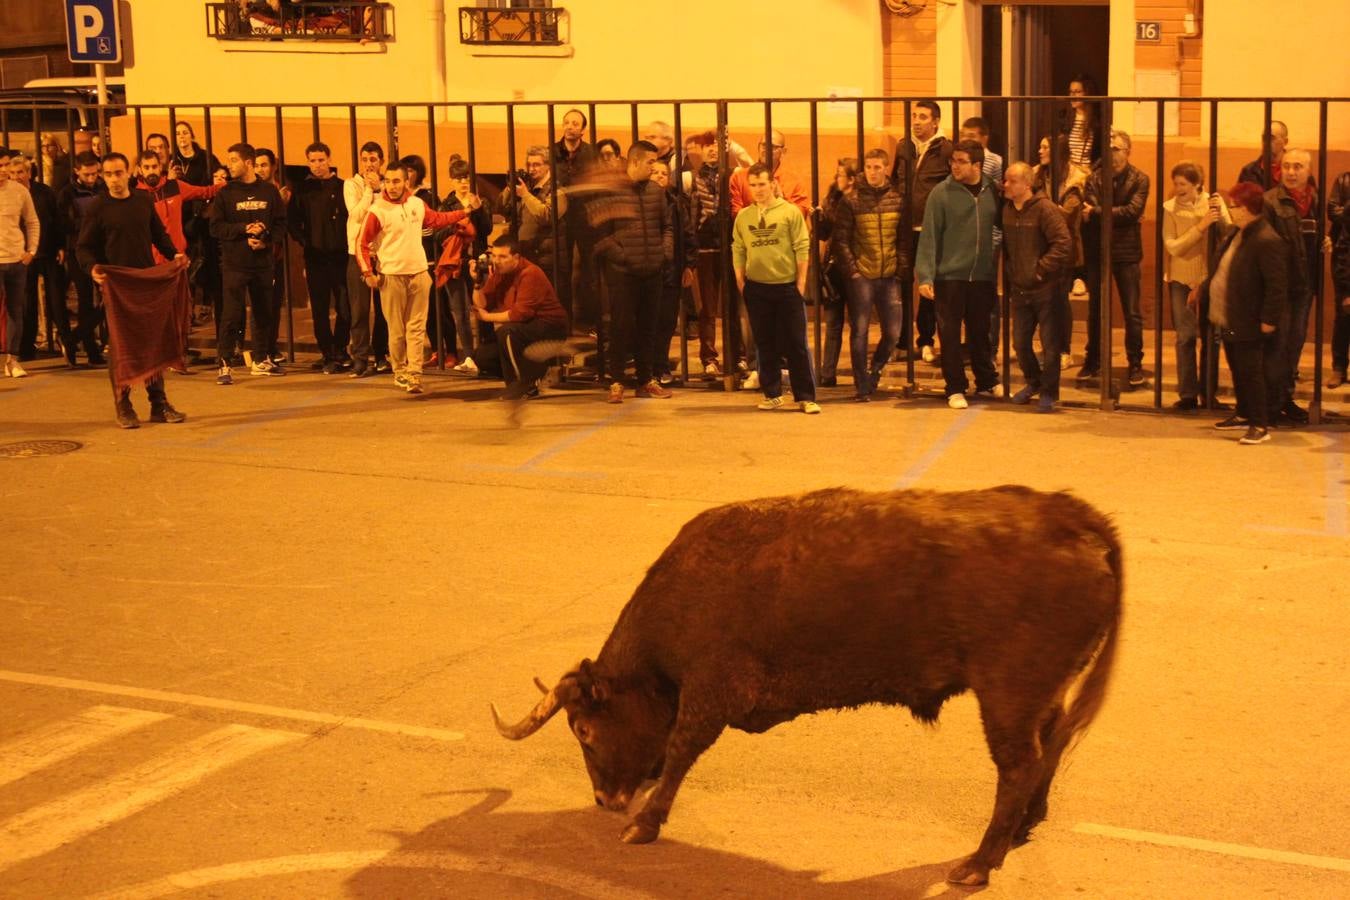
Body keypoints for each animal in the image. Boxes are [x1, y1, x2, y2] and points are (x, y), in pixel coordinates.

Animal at [491, 485, 1123, 885]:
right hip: (1041, 692)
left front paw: (644, 823)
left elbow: (680, 751)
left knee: (1019, 764)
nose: (605, 800)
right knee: (1050, 745)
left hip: (1006, 694)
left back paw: (980, 862)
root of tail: (1070, 515)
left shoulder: (711, 691)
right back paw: (1023, 828)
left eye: (583, 728)